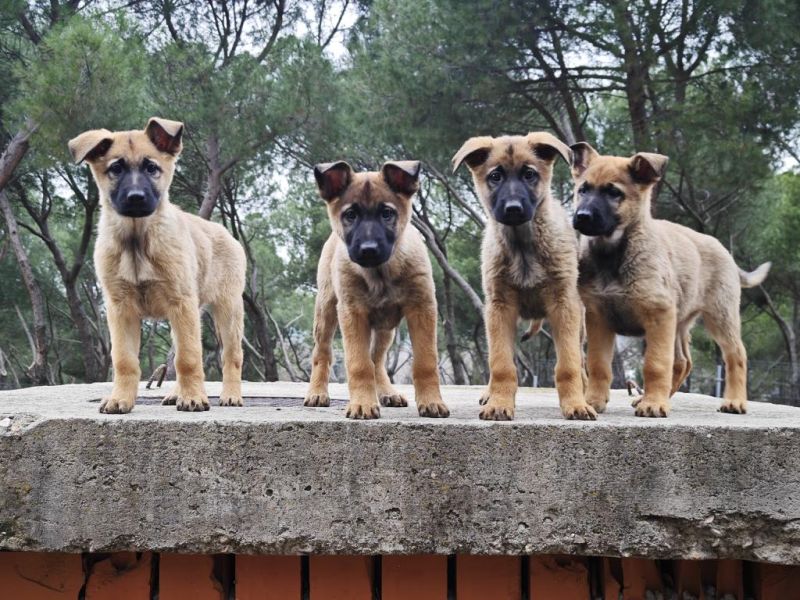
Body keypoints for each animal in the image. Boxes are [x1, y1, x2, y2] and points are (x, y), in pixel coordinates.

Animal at [67, 119, 245, 414]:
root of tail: (224, 232)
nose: (136, 197)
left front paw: (194, 398)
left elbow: (188, 357)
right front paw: (120, 399)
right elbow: (125, 360)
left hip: (227, 311)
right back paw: (176, 393)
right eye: (116, 169)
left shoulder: (181, 304)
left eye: (151, 168)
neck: (137, 240)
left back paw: (230, 395)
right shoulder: (121, 309)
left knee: (231, 356)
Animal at [304, 159, 446, 420]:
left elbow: (425, 361)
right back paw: (317, 393)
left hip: (385, 329)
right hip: (326, 311)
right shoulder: (352, 313)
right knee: (323, 353)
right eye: (350, 215)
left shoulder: (422, 309)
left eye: (387, 213)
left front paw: (431, 401)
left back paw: (387, 392)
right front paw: (362, 404)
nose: (368, 249)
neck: (380, 274)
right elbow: (359, 364)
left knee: (377, 359)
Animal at [450, 131, 592, 422]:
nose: (513, 208)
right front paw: (499, 403)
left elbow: (568, 365)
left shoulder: (564, 306)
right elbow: (501, 363)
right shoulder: (500, 309)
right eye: (495, 176)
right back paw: (489, 393)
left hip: (579, 325)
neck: (522, 247)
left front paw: (575, 404)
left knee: (581, 362)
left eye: (529, 174)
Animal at [568, 144, 768, 420]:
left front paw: (653, 404)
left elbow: (655, 364)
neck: (614, 254)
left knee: (735, 355)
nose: (582, 216)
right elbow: (598, 364)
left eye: (613, 192)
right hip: (679, 322)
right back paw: (654, 398)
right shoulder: (599, 318)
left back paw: (734, 401)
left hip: (720, 316)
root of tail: (723, 250)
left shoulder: (657, 315)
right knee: (684, 362)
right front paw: (593, 401)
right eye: (583, 190)